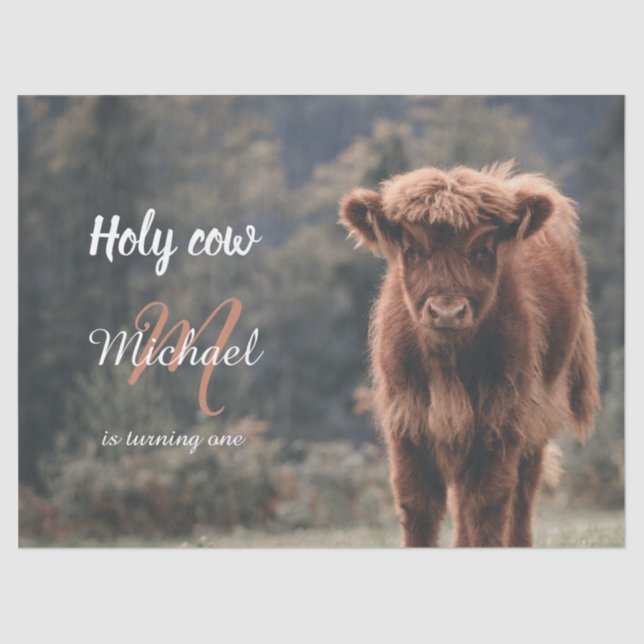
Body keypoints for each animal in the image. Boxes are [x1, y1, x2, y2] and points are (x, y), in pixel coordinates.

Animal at [339, 162, 600, 547]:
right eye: (411, 249)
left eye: (483, 249)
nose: (447, 312)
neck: (448, 364)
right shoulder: (407, 421)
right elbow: (418, 505)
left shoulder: (500, 418)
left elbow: (487, 505)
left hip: (537, 413)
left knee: (522, 491)